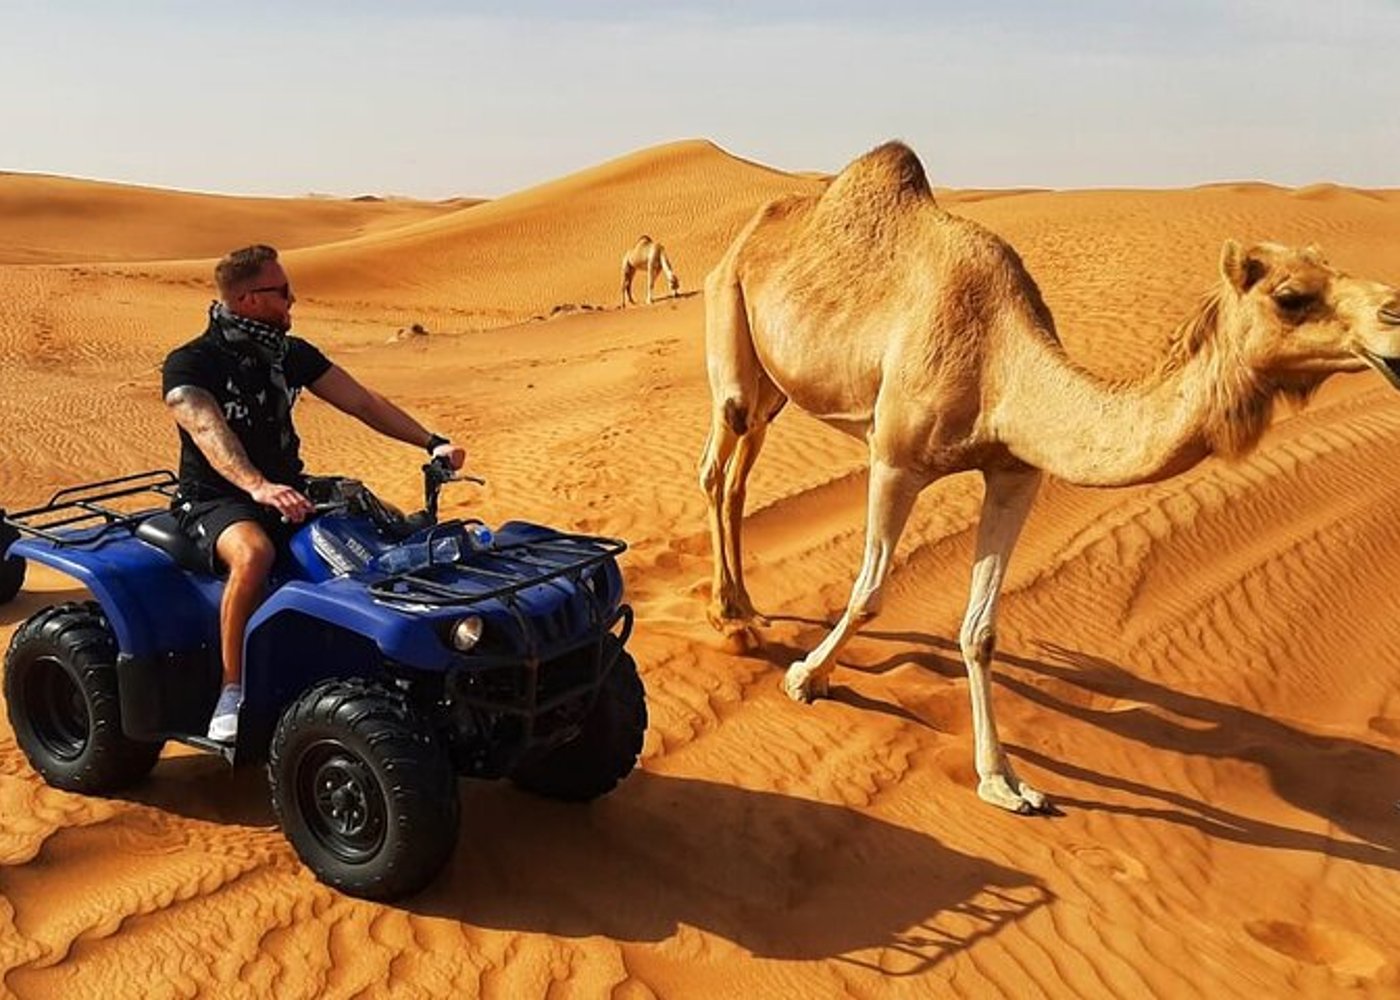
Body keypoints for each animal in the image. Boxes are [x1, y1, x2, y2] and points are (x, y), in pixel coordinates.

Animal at [699, 140, 1400, 814]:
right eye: (1291, 297)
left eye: (1334, 270)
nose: (1394, 314)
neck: (1000, 363)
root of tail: (752, 230)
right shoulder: (895, 458)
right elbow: (869, 592)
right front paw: (806, 678)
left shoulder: (1016, 473)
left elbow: (981, 629)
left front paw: (1004, 782)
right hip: (729, 312)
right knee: (717, 459)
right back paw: (728, 616)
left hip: (775, 388)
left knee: (739, 472)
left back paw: (745, 607)